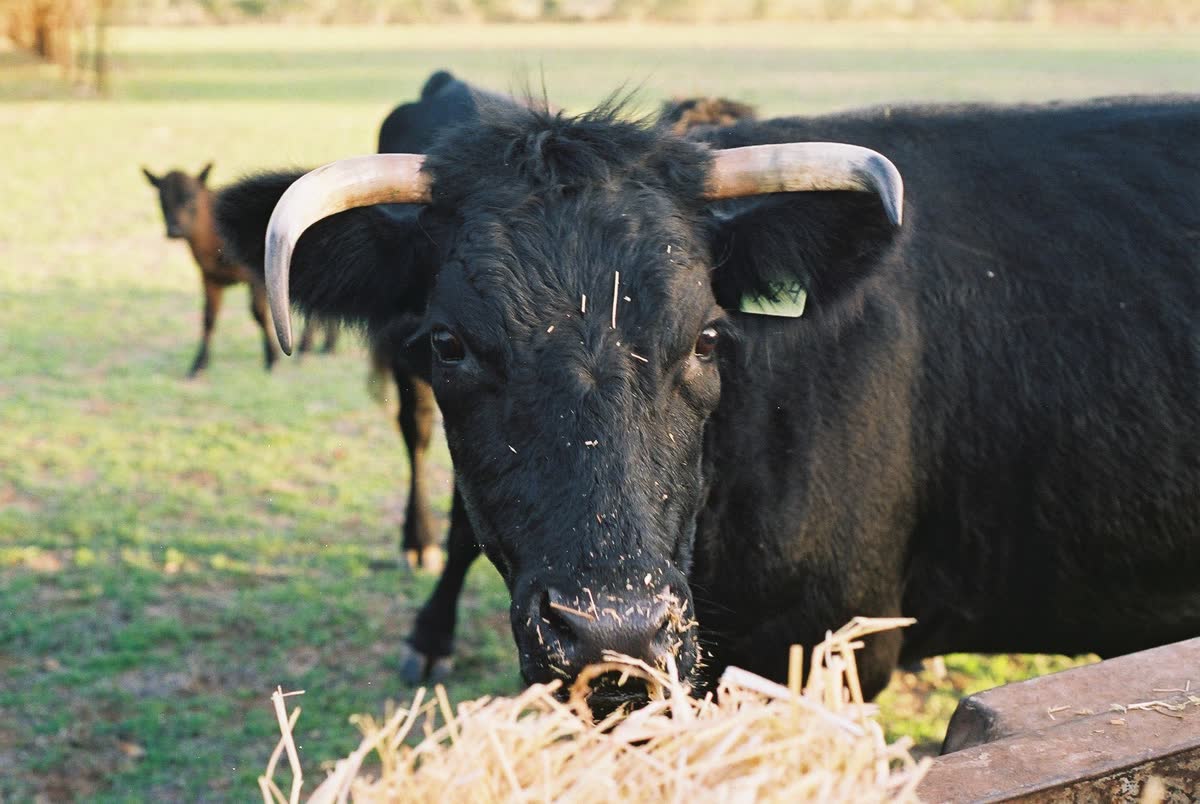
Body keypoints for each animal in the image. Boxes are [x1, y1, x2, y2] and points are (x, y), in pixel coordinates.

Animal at [142, 163, 337, 376]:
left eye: (191, 197)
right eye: (161, 199)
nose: (174, 230)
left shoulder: (257, 278)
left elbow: (258, 313)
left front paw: (272, 359)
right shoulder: (209, 276)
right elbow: (208, 318)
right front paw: (198, 365)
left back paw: (305, 348)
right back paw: (327, 346)